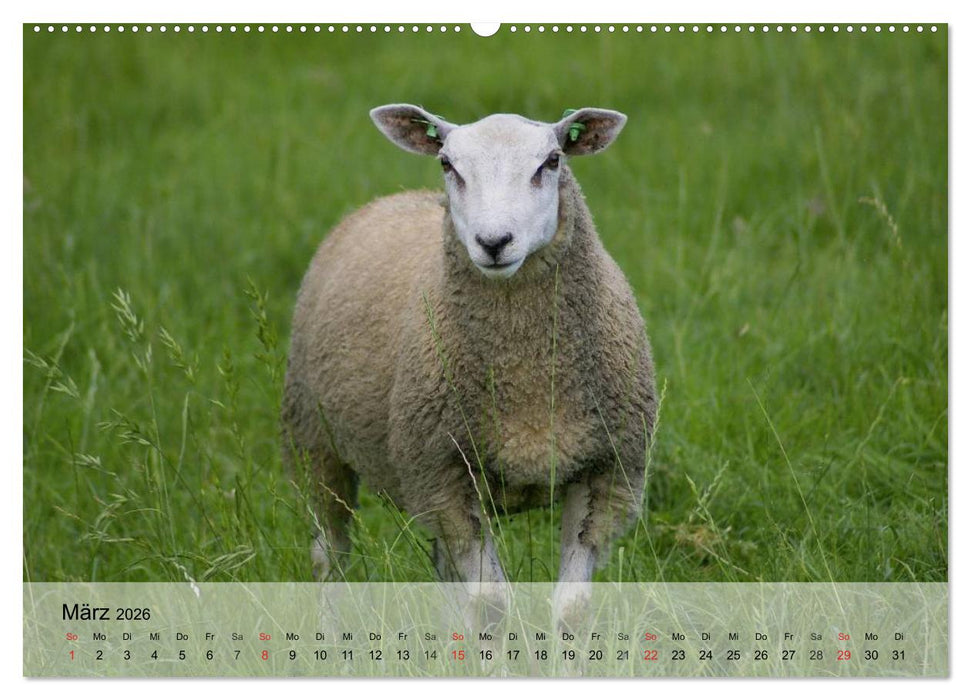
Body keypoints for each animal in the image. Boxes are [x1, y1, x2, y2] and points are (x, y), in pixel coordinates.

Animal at [282, 104, 657, 622]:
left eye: (552, 161)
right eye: (447, 164)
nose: (494, 241)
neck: (525, 368)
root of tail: (392, 198)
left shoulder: (607, 471)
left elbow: (571, 607)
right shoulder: (444, 476)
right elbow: (490, 602)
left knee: (441, 569)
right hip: (314, 443)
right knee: (329, 562)